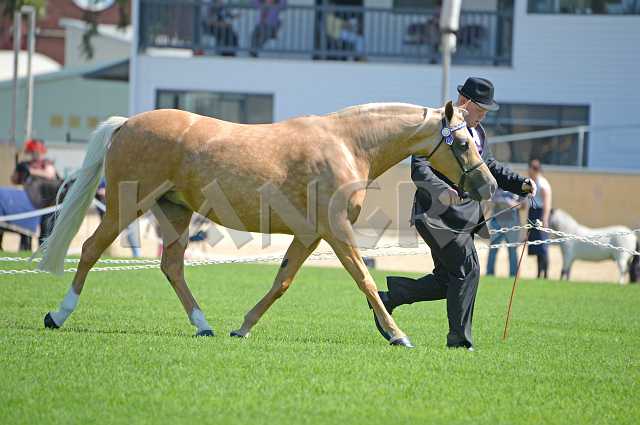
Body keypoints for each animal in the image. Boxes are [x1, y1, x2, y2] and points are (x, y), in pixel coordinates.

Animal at [36, 101, 497, 348]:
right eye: (460, 142)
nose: (489, 185)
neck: (348, 145)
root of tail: (126, 124)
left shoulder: (309, 235)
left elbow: (282, 282)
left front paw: (241, 328)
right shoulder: (336, 231)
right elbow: (365, 279)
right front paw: (398, 335)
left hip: (175, 212)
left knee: (172, 266)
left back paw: (204, 326)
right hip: (125, 205)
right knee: (91, 250)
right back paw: (58, 315)